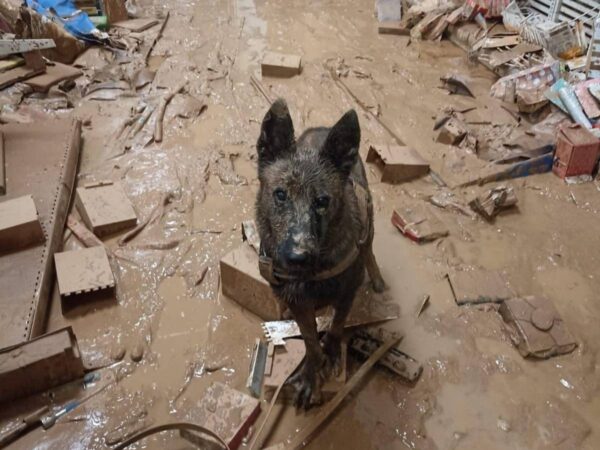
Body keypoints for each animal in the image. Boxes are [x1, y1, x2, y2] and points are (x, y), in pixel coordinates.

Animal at [254, 100, 384, 410]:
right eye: (280, 195)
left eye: (322, 201)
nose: (299, 257)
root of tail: (324, 127)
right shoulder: (301, 305)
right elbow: (311, 342)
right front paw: (311, 373)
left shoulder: (347, 293)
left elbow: (336, 326)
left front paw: (332, 352)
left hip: (369, 217)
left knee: (369, 247)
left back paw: (376, 276)